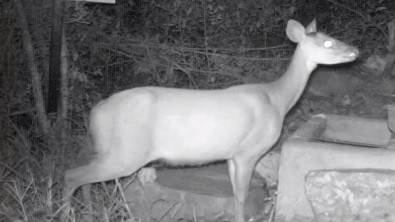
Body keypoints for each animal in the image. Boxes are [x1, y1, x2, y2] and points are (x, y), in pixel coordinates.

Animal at [64, 19, 358, 222]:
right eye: (328, 42)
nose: (355, 50)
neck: (278, 99)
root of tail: (96, 111)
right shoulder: (248, 151)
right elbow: (241, 195)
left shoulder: (232, 154)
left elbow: (237, 193)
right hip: (126, 152)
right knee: (71, 175)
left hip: (108, 149)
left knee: (84, 177)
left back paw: (86, 213)